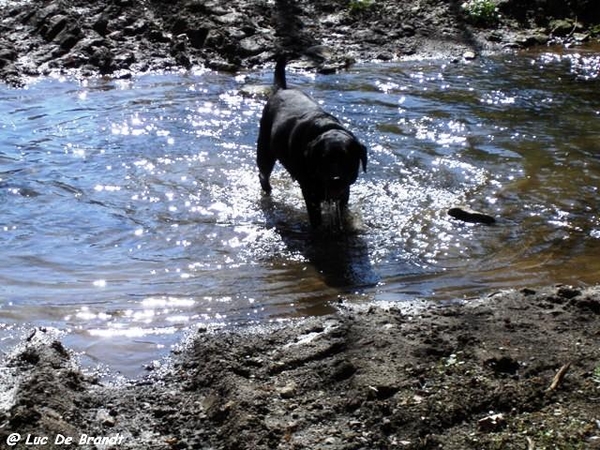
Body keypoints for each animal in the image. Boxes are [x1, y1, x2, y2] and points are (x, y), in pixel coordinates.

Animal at [256, 59, 368, 229]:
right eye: (324, 159)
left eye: (347, 159)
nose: (335, 179)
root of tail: (281, 89)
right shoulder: (310, 192)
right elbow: (316, 219)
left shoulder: (344, 191)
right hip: (265, 150)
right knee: (263, 175)